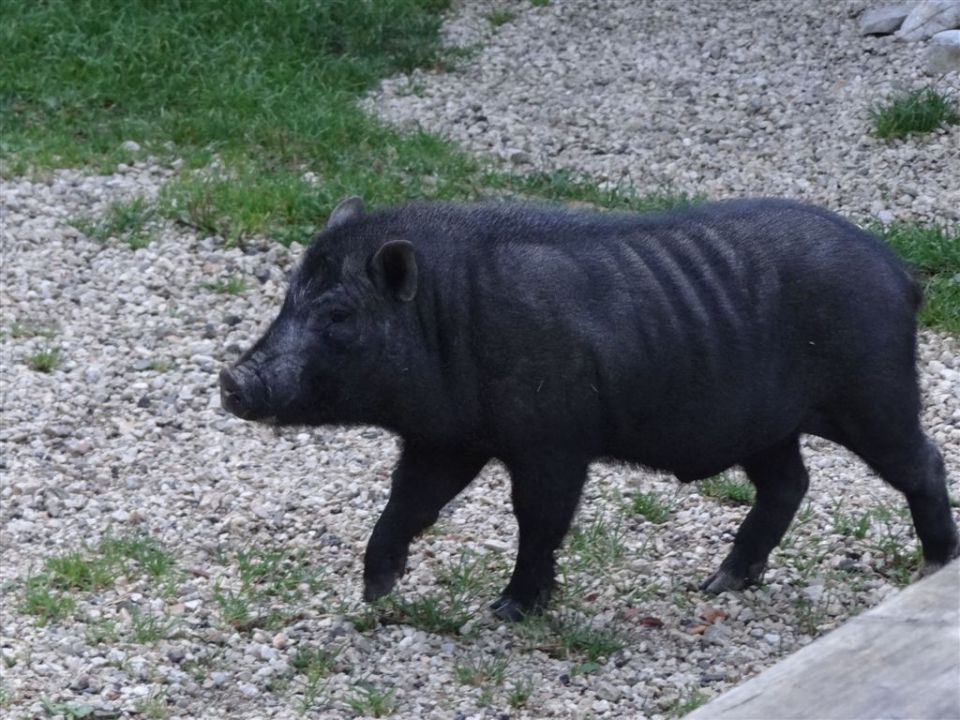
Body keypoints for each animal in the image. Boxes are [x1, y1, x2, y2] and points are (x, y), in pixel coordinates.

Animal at [219, 195, 960, 620]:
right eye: (288, 297)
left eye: (339, 316)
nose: (231, 380)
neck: (446, 315)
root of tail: (899, 273)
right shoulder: (448, 438)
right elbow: (411, 500)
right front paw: (376, 592)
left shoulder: (553, 440)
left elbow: (539, 517)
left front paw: (504, 611)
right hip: (767, 424)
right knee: (789, 483)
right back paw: (717, 586)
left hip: (874, 390)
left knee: (921, 459)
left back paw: (936, 565)